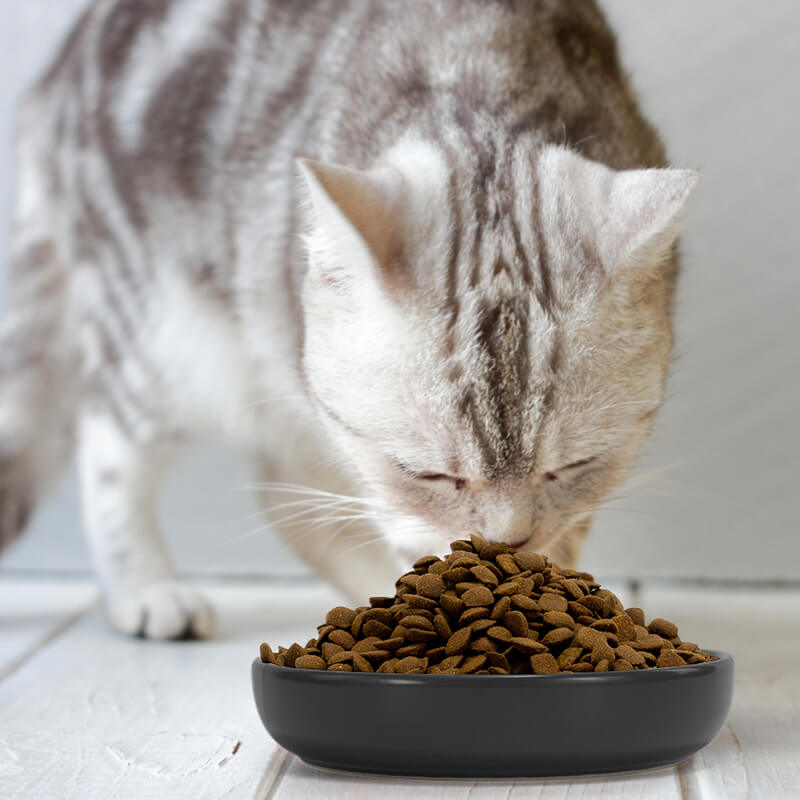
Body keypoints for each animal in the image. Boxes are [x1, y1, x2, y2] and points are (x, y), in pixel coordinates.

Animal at [0, 0, 692, 636]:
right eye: (428, 473)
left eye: (573, 465)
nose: (507, 544)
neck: (485, 85)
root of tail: (59, 76)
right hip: (157, 337)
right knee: (110, 450)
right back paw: (147, 590)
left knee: (278, 490)